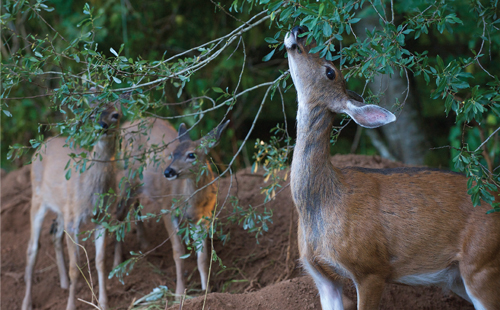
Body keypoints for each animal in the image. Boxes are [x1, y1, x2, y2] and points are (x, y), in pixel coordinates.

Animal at [21, 91, 124, 310]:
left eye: (115, 115)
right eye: (92, 115)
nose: (102, 126)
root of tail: (41, 145)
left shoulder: (102, 217)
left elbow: (101, 261)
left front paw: (104, 303)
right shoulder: (74, 220)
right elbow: (75, 267)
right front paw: (70, 305)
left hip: (62, 208)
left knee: (54, 234)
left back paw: (63, 283)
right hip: (37, 198)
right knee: (32, 248)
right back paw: (27, 302)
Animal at [284, 26, 500, 310]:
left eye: (330, 71)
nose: (298, 31)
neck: (323, 202)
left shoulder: (371, 268)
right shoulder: (321, 276)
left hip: (482, 261)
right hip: (457, 276)